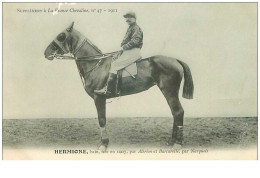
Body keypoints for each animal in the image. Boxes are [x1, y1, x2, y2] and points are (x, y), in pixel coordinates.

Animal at [44, 22, 193, 150]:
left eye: (61, 36)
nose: (46, 52)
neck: (96, 64)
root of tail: (176, 60)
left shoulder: (99, 98)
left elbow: (102, 119)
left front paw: (104, 144)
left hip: (169, 91)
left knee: (178, 112)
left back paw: (177, 143)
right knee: (175, 113)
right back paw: (173, 141)